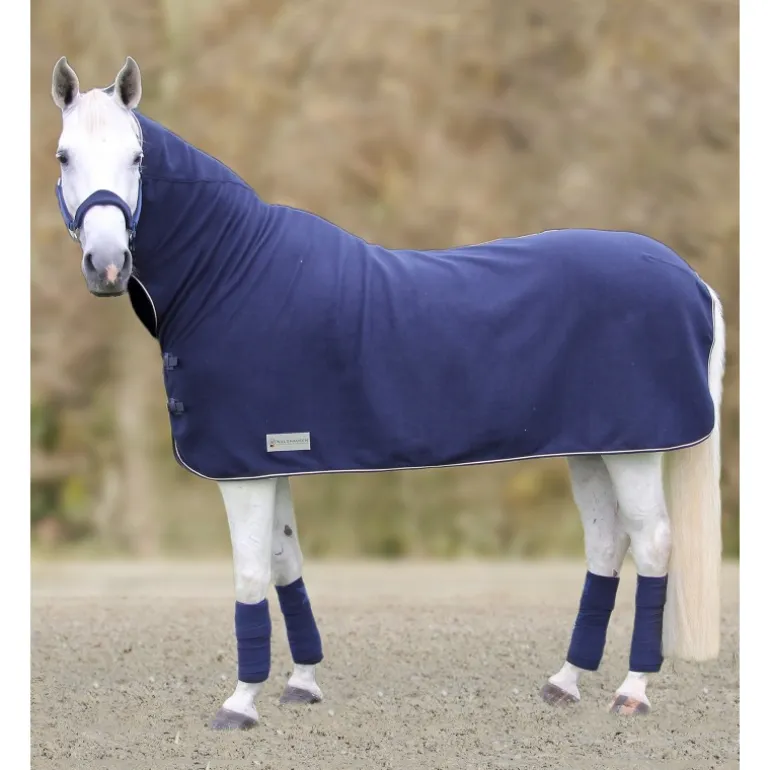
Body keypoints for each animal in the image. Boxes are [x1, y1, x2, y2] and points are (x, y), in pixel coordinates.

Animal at [50, 56, 725, 729]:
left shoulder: (243, 468)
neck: (230, 273)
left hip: (635, 452)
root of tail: (689, 278)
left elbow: (248, 575)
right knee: (607, 541)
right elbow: (285, 562)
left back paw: (632, 690)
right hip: (592, 447)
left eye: (137, 158)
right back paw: (565, 681)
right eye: (63, 156)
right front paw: (302, 682)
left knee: (652, 544)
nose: (106, 264)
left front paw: (240, 703)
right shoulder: (270, 455)